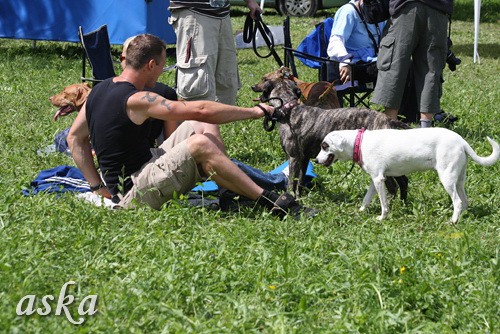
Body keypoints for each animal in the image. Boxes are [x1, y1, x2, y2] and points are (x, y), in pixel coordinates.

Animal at [252, 68, 408, 198]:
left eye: (263, 78)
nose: (252, 86)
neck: (289, 109)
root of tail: (387, 119)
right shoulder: (304, 159)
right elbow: (300, 182)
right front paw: (300, 198)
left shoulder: (293, 158)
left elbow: (292, 183)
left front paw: (290, 198)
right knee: (400, 182)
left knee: (396, 184)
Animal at [318, 128, 498, 224]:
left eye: (324, 146)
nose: (317, 160)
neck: (359, 143)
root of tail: (461, 140)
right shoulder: (374, 180)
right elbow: (366, 198)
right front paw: (361, 211)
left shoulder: (379, 180)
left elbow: (384, 204)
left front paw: (382, 217)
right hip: (458, 179)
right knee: (464, 200)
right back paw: (462, 216)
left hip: (447, 178)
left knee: (458, 201)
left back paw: (453, 221)